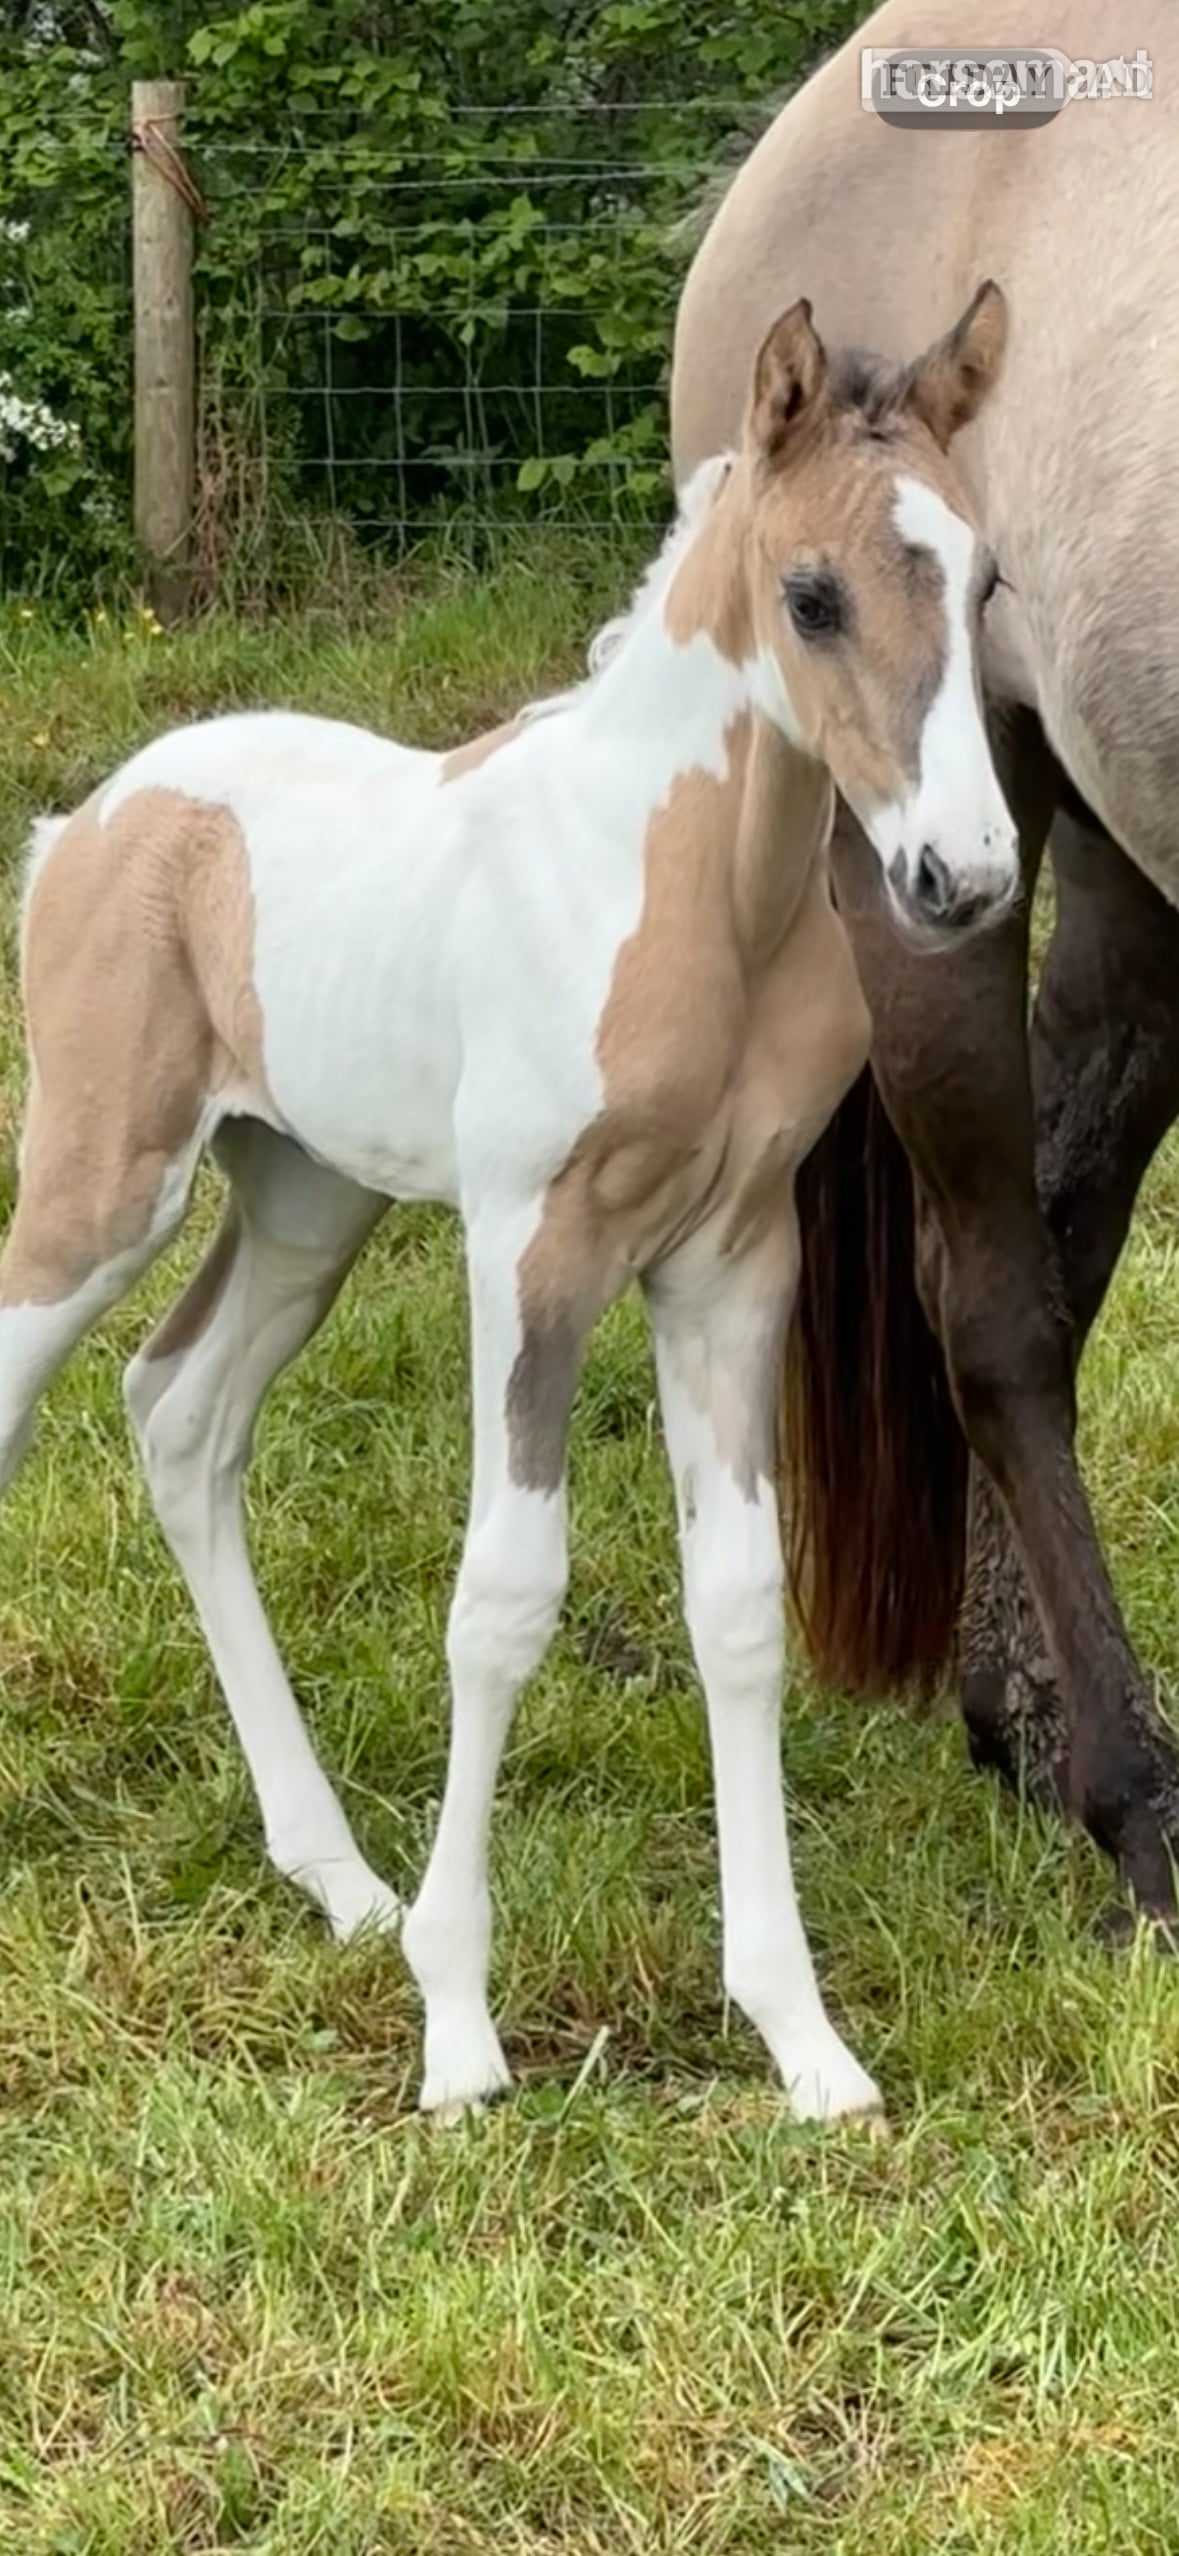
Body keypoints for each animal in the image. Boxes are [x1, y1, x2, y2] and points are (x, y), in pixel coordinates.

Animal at [2, 297, 1015, 2122]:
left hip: (305, 1203)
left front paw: (801, 2041)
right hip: (100, 1189)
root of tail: (89, 821)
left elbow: (736, 1605)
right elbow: (500, 1602)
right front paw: (459, 2031)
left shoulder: (727, 1265)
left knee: (180, 1415)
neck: (699, 895)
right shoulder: (528, 1250)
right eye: (811, 595)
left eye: (982, 586)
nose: (957, 878)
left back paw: (336, 1877)